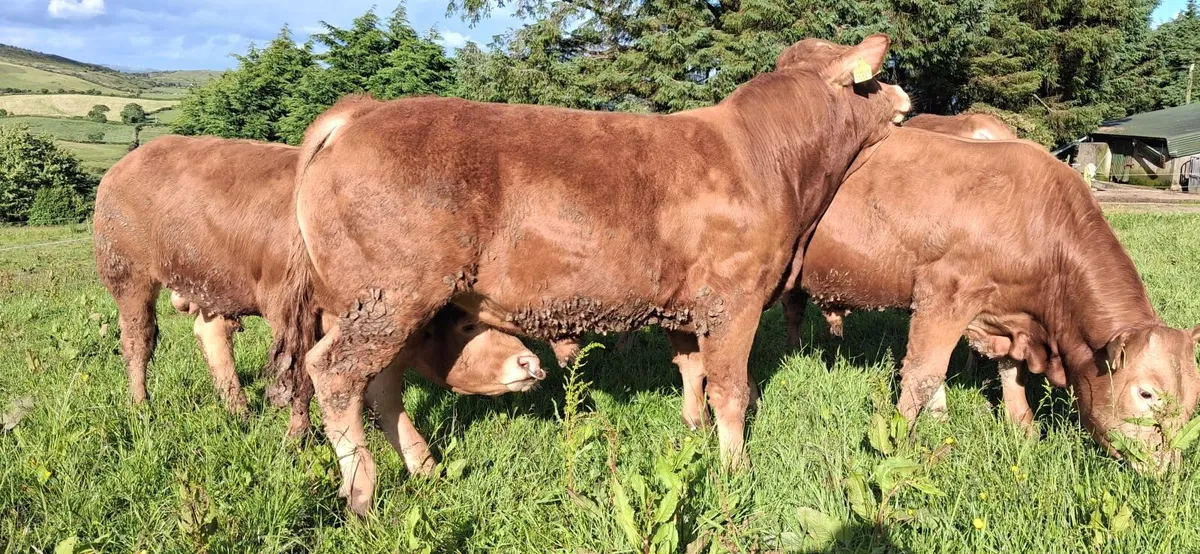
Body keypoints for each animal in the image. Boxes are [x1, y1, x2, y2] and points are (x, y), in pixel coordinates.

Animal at [92, 136, 546, 472]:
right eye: (469, 326)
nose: (529, 362)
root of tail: (129, 159)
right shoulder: (289, 311)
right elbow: (300, 378)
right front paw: (299, 437)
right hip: (127, 274)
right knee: (137, 341)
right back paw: (141, 405)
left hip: (210, 283)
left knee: (211, 331)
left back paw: (239, 410)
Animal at [286, 35, 911, 515]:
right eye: (874, 77)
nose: (903, 93)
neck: (772, 161)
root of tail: (363, 111)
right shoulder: (733, 300)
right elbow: (731, 388)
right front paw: (736, 469)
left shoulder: (685, 303)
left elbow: (692, 373)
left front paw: (693, 432)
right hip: (392, 295)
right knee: (336, 373)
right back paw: (362, 488)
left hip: (387, 302)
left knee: (382, 382)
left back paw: (423, 466)